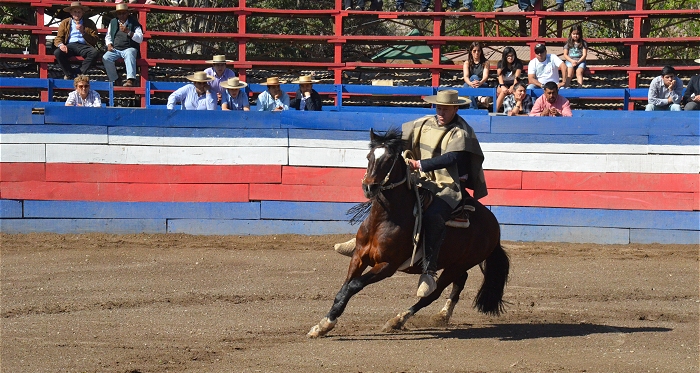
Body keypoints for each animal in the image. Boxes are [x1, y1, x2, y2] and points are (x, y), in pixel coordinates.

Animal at [306, 125, 508, 338]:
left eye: (388, 160)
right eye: (369, 156)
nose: (369, 186)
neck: (384, 220)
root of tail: (493, 223)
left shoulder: (387, 265)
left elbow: (353, 285)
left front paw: (327, 323)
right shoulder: (359, 257)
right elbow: (343, 288)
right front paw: (322, 325)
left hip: (459, 264)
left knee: (432, 293)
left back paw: (398, 319)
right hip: (454, 264)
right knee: (459, 282)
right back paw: (442, 315)